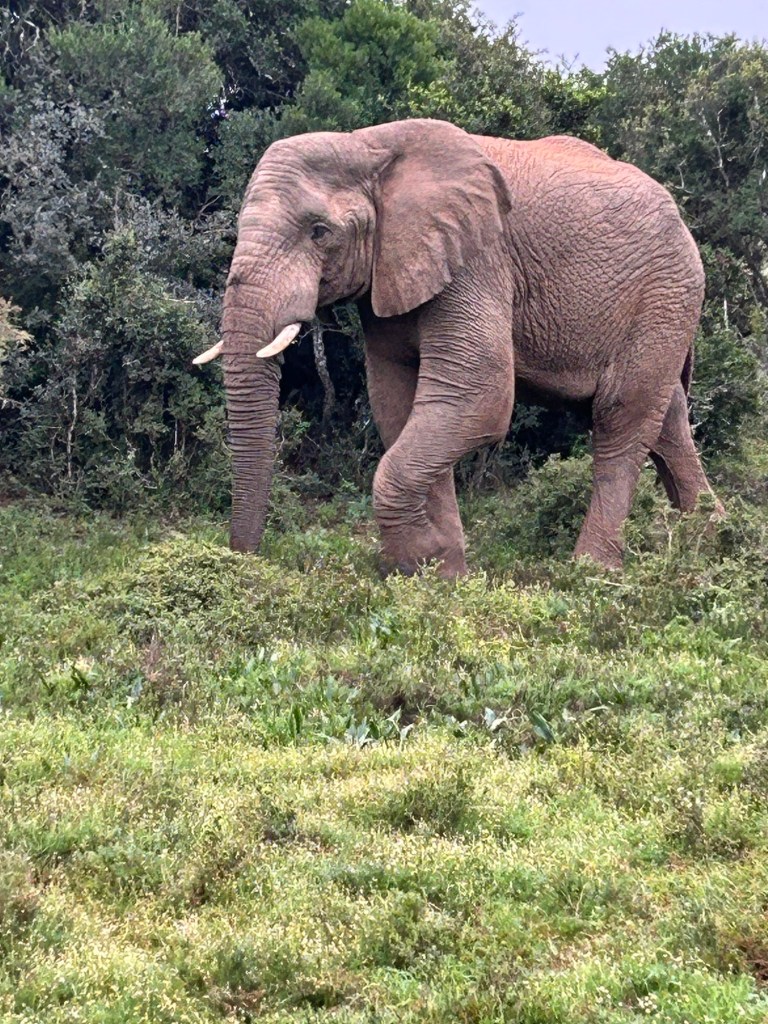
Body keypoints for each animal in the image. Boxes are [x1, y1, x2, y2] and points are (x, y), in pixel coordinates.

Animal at [194, 117, 721, 577]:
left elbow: (478, 394)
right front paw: (443, 574)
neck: (367, 145)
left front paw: (417, 561)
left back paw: (592, 573)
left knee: (621, 420)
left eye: (319, 232)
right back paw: (710, 543)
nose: (244, 560)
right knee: (667, 422)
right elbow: (397, 402)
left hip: (664, 293)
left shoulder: (478, 258)